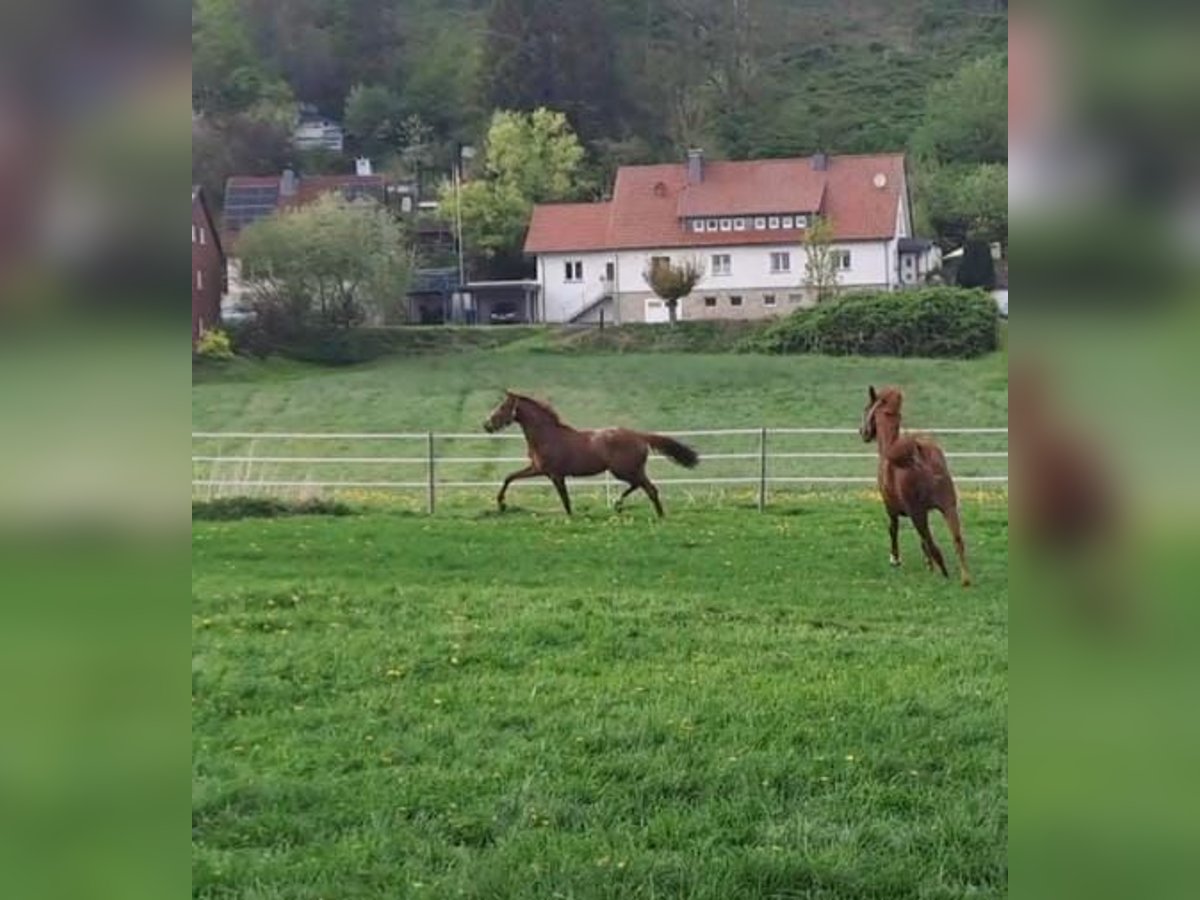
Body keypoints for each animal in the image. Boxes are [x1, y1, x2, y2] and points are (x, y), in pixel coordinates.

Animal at [482, 391, 700, 518]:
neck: (547, 436)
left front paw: (570, 516)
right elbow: (509, 477)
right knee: (642, 486)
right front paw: (501, 504)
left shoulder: (554, 474)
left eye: (503, 407)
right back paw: (620, 505)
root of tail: (640, 436)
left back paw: (654, 514)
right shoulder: (538, 469)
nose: (487, 425)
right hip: (627, 471)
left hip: (624, 470)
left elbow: (564, 498)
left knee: (649, 488)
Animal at [859, 388, 969, 592]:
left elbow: (893, 529)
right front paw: (926, 563)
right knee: (957, 541)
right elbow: (922, 542)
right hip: (948, 508)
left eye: (866, 408)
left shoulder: (891, 508)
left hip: (918, 514)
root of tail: (920, 454)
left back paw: (943, 575)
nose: (863, 432)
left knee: (934, 546)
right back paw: (964, 580)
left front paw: (895, 560)